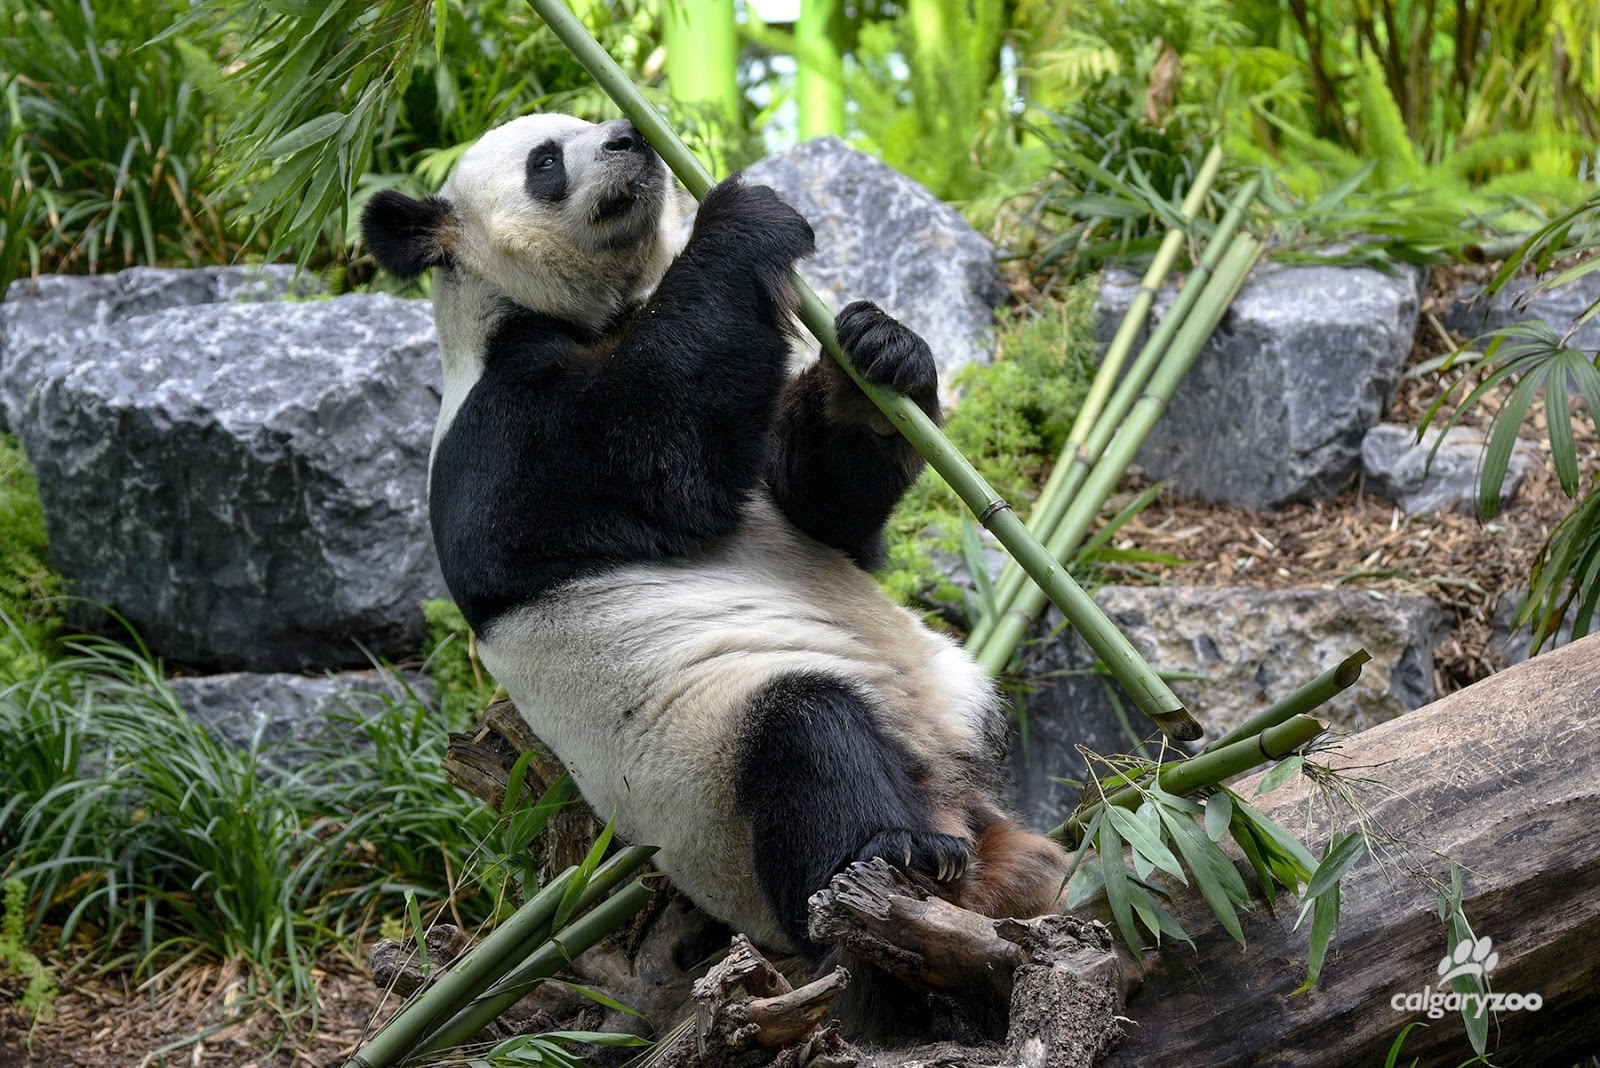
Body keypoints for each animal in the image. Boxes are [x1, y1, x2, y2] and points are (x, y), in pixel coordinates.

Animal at [356, 115, 1068, 959]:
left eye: (589, 124)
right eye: (546, 162)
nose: (630, 136)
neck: (581, 311)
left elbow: (822, 508)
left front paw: (878, 353)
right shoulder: (501, 440)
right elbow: (659, 455)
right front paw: (744, 214)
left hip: (955, 696)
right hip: (716, 776)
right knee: (807, 741)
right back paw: (899, 852)